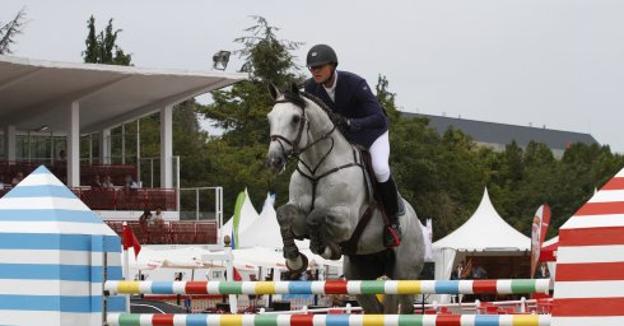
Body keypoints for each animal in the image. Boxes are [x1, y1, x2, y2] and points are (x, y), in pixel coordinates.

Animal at [266, 82, 426, 314]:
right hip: (359, 277)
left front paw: (324, 247)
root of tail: (416, 221)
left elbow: (316, 216)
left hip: (404, 275)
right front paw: (295, 259)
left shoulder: (346, 221)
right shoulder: (297, 212)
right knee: (375, 310)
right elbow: (284, 215)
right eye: (269, 118)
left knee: (405, 307)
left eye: (295, 119)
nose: (274, 161)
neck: (317, 168)